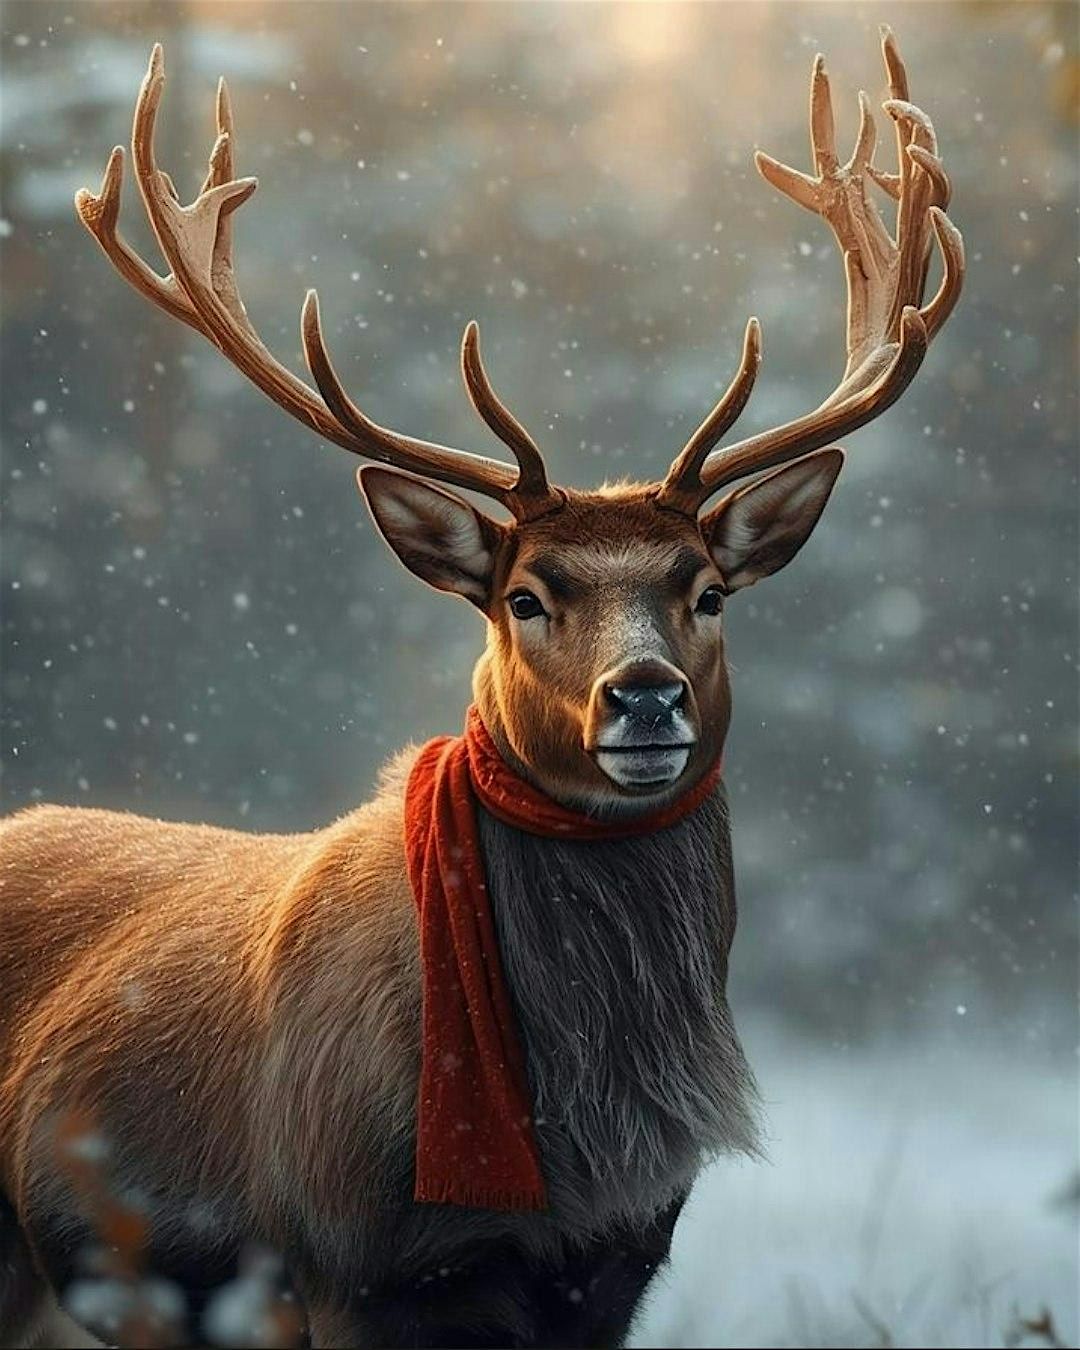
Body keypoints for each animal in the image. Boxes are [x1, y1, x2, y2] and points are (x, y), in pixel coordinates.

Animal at [0, 27, 962, 1350]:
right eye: (525, 596)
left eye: (709, 589)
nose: (644, 696)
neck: (577, 1157)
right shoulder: (343, 1261)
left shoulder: (617, 1270)